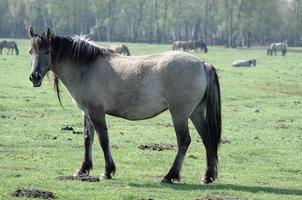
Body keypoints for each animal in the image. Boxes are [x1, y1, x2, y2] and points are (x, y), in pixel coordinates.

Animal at [27, 27, 222, 184]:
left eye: (48, 51)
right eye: (31, 51)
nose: (34, 77)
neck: (87, 68)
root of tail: (203, 64)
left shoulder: (96, 112)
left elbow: (103, 139)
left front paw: (107, 171)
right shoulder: (87, 112)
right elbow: (87, 139)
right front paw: (83, 169)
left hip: (179, 113)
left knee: (184, 141)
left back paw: (169, 176)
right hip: (196, 112)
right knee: (207, 139)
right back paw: (207, 176)